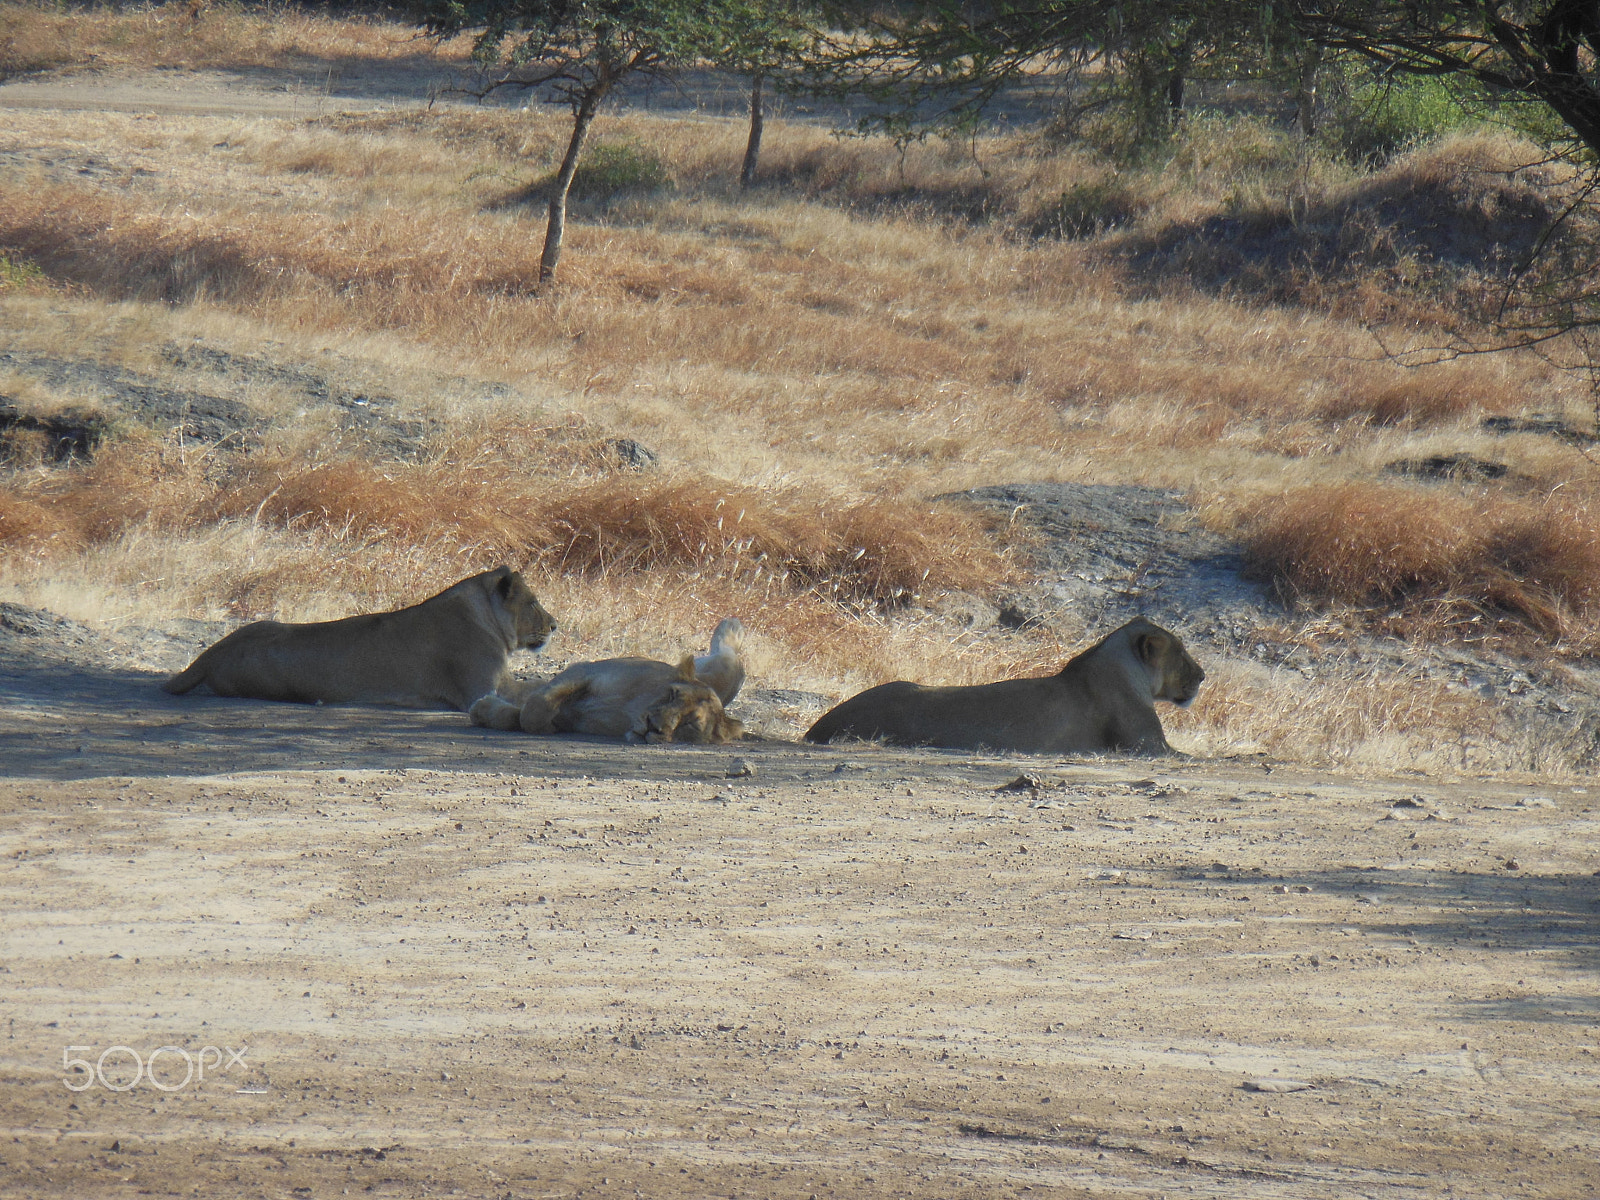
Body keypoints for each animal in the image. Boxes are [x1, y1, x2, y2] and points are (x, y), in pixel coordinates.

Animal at [161, 565, 556, 711]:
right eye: (534, 603)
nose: (555, 625)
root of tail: (213, 653)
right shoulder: (483, 692)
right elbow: (537, 687)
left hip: (261, 623)